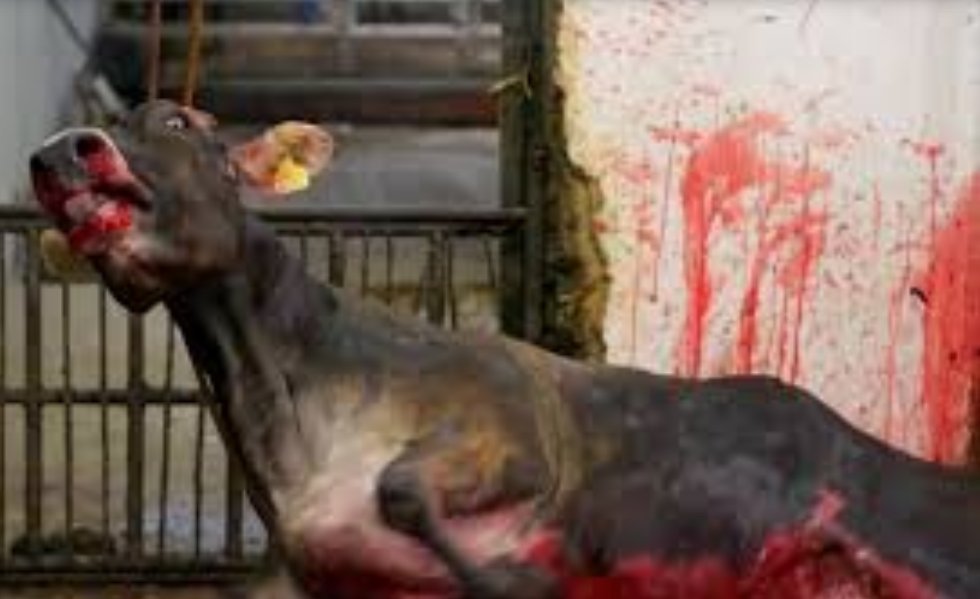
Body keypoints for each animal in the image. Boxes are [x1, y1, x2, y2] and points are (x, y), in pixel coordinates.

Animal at [27, 100, 980, 598]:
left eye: (181, 121)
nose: (60, 150)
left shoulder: (504, 429)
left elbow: (408, 489)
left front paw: (511, 573)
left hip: (908, 536)